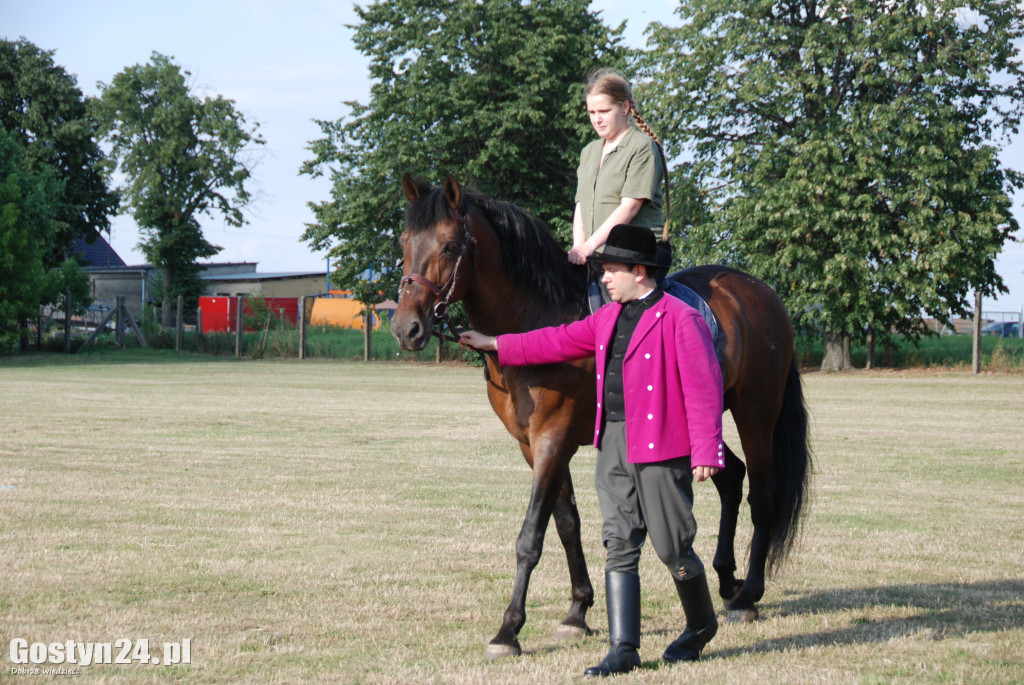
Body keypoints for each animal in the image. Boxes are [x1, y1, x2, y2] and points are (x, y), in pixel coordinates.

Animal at [389, 170, 806, 655]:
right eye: (405, 242)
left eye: (451, 246)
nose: (406, 328)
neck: (536, 317)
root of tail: (758, 292)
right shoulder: (534, 446)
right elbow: (566, 523)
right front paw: (577, 611)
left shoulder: (553, 440)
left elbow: (531, 535)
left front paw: (509, 629)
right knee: (731, 478)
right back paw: (726, 581)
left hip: (756, 412)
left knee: (763, 496)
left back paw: (749, 594)